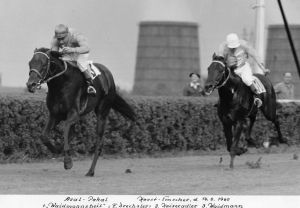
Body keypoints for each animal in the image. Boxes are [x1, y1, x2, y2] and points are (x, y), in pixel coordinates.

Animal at [27, 48, 135, 176]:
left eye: (44, 65)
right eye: (30, 63)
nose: (30, 84)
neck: (61, 84)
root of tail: (108, 75)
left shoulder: (73, 113)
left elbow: (66, 130)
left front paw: (68, 162)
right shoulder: (55, 115)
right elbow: (44, 136)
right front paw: (57, 149)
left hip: (102, 111)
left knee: (99, 142)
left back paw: (90, 171)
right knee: (74, 131)